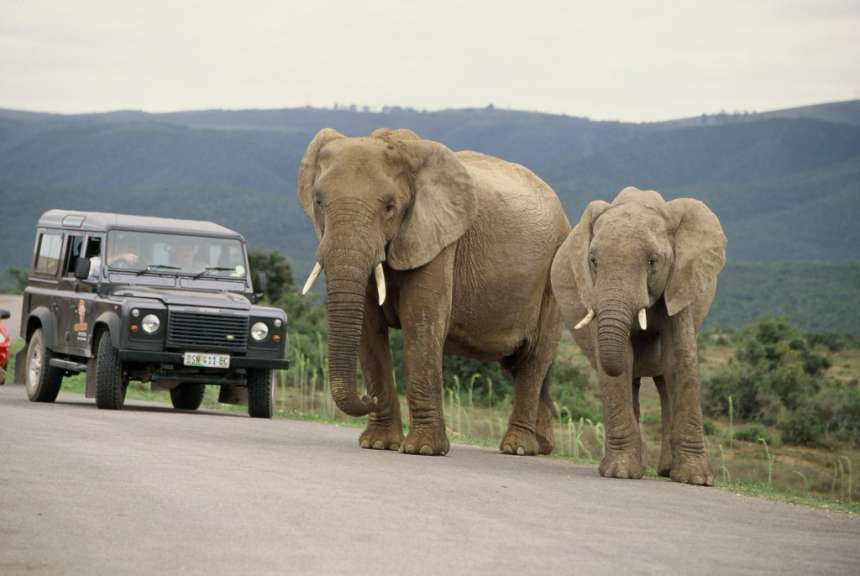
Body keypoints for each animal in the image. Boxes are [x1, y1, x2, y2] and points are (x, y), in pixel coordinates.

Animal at [297, 127, 570, 456]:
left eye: (390, 208)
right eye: (318, 201)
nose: (367, 398)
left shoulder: (437, 241)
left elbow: (421, 324)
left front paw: (423, 450)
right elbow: (369, 331)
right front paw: (378, 444)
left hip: (553, 276)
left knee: (534, 359)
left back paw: (517, 449)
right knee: (517, 365)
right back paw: (541, 447)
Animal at [550, 186, 726, 485]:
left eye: (653, 261)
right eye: (593, 261)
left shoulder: (681, 281)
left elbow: (680, 358)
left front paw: (695, 479)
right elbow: (622, 361)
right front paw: (621, 473)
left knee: (664, 380)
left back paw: (665, 470)